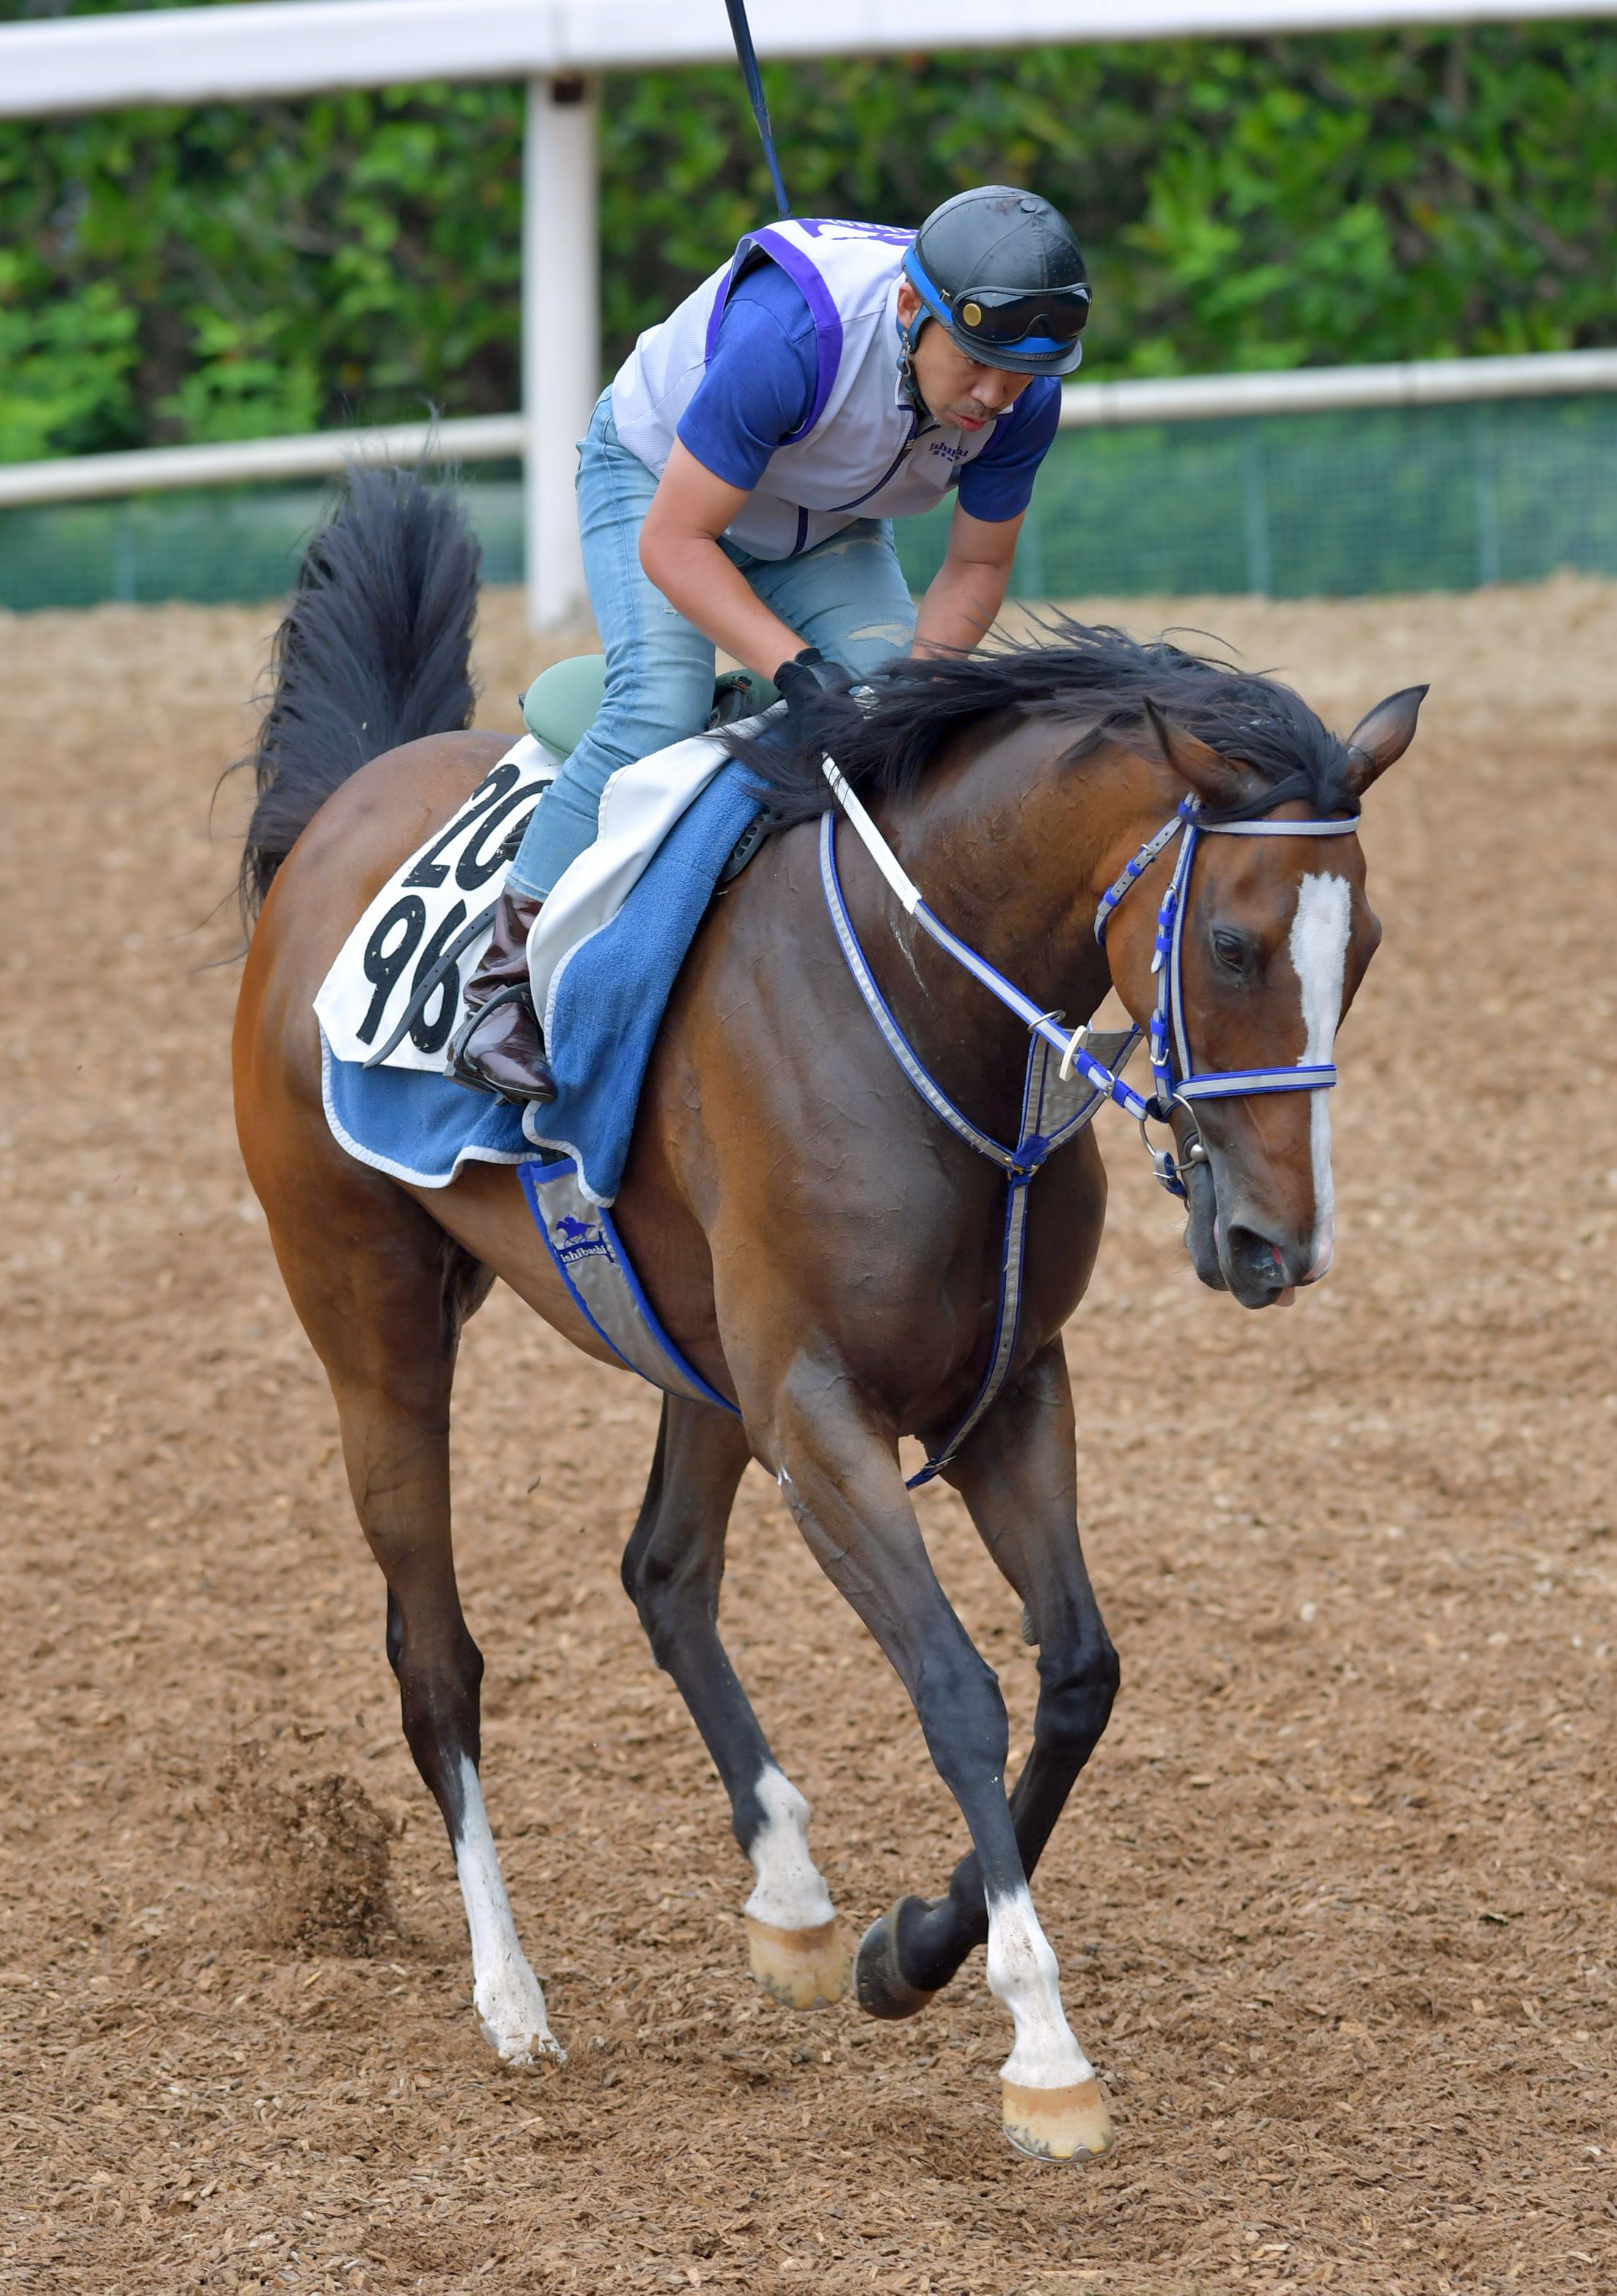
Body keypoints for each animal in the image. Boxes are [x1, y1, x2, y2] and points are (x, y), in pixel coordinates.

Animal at [234, 475, 1423, 2158]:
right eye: (1235, 944)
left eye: (1362, 950)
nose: (1276, 1241)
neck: (928, 998)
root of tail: (345, 805)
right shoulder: (818, 1409)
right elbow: (956, 1685)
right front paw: (1038, 2041)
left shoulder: (1003, 1386)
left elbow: (1076, 1673)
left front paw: (905, 1945)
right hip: (371, 1314)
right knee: (436, 1653)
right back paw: (511, 1993)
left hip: (690, 1350)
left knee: (662, 1572)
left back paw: (790, 1893)